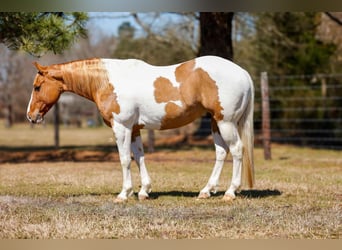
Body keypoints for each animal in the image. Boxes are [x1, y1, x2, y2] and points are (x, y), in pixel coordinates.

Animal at [26, 55, 254, 202]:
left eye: (37, 87)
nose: (30, 116)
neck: (107, 81)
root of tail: (243, 73)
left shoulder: (122, 128)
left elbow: (124, 159)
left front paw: (123, 194)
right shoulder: (135, 129)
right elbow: (139, 157)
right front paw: (144, 191)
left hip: (226, 122)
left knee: (236, 150)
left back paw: (230, 192)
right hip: (216, 122)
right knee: (221, 152)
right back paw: (206, 191)